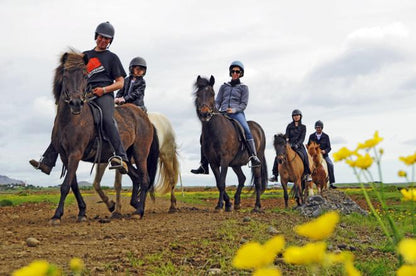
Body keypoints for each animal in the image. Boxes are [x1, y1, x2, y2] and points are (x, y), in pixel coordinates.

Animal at [48, 50, 158, 224]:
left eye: (85, 75)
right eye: (65, 75)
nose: (76, 103)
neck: (70, 120)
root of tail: (145, 118)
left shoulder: (75, 154)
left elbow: (65, 185)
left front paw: (57, 216)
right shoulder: (65, 156)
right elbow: (73, 184)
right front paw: (82, 212)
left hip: (141, 154)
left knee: (145, 179)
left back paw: (139, 211)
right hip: (128, 157)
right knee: (136, 178)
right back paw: (132, 205)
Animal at [193, 75, 268, 211]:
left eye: (212, 94)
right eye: (198, 94)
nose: (205, 114)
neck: (216, 131)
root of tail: (258, 127)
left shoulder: (224, 160)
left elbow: (222, 182)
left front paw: (220, 205)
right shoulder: (213, 162)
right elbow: (219, 183)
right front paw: (228, 204)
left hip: (256, 161)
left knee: (258, 183)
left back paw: (257, 206)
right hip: (235, 164)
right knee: (242, 178)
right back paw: (237, 202)